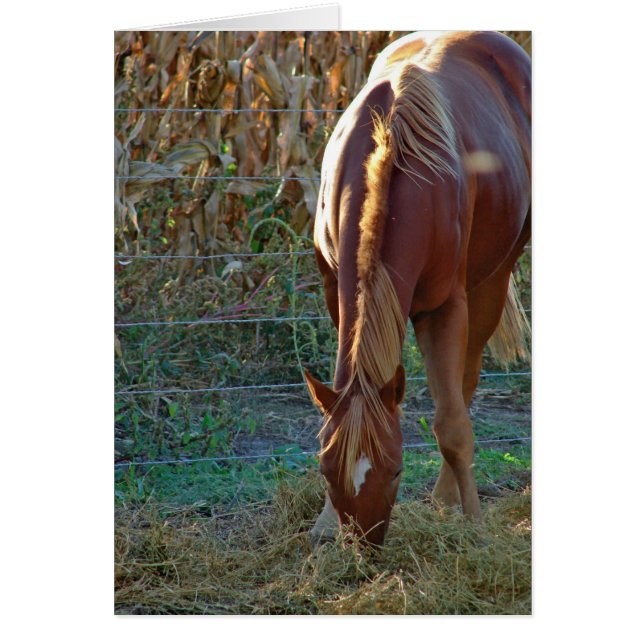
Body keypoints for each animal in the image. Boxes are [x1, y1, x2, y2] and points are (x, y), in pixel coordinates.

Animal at [304, 31, 531, 547]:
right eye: (327, 472)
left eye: (396, 471)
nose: (364, 546)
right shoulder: (334, 292)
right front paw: (324, 523)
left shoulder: (445, 308)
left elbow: (452, 425)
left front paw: (474, 524)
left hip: (492, 282)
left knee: (464, 385)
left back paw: (448, 500)